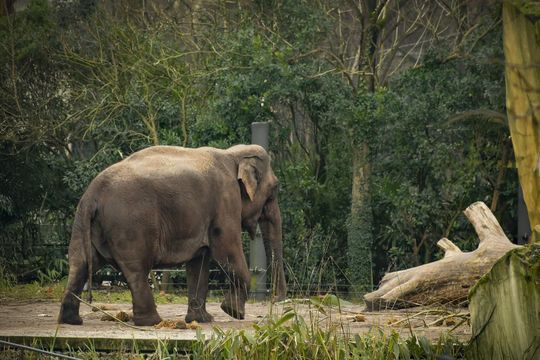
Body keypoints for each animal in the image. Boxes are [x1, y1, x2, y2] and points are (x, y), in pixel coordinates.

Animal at [58, 143, 286, 326]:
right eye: (274, 189)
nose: (277, 301)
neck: (232, 154)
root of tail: (93, 194)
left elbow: (199, 263)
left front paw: (202, 320)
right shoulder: (225, 200)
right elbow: (226, 251)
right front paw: (233, 312)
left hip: (84, 223)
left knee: (80, 264)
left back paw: (72, 321)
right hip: (130, 224)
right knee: (136, 268)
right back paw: (151, 322)